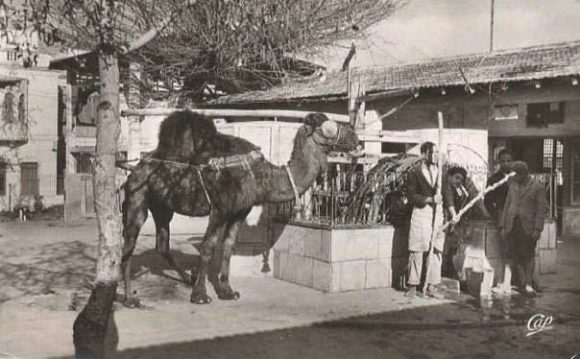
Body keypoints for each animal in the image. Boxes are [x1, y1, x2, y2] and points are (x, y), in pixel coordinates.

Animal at [120, 111, 360, 306]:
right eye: (329, 127)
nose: (356, 138)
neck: (260, 177)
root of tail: (137, 166)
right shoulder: (219, 209)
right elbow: (207, 247)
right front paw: (200, 296)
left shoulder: (239, 211)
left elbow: (228, 247)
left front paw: (227, 291)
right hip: (137, 198)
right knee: (129, 244)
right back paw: (130, 298)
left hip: (162, 207)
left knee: (162, 244)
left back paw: (187, 278)